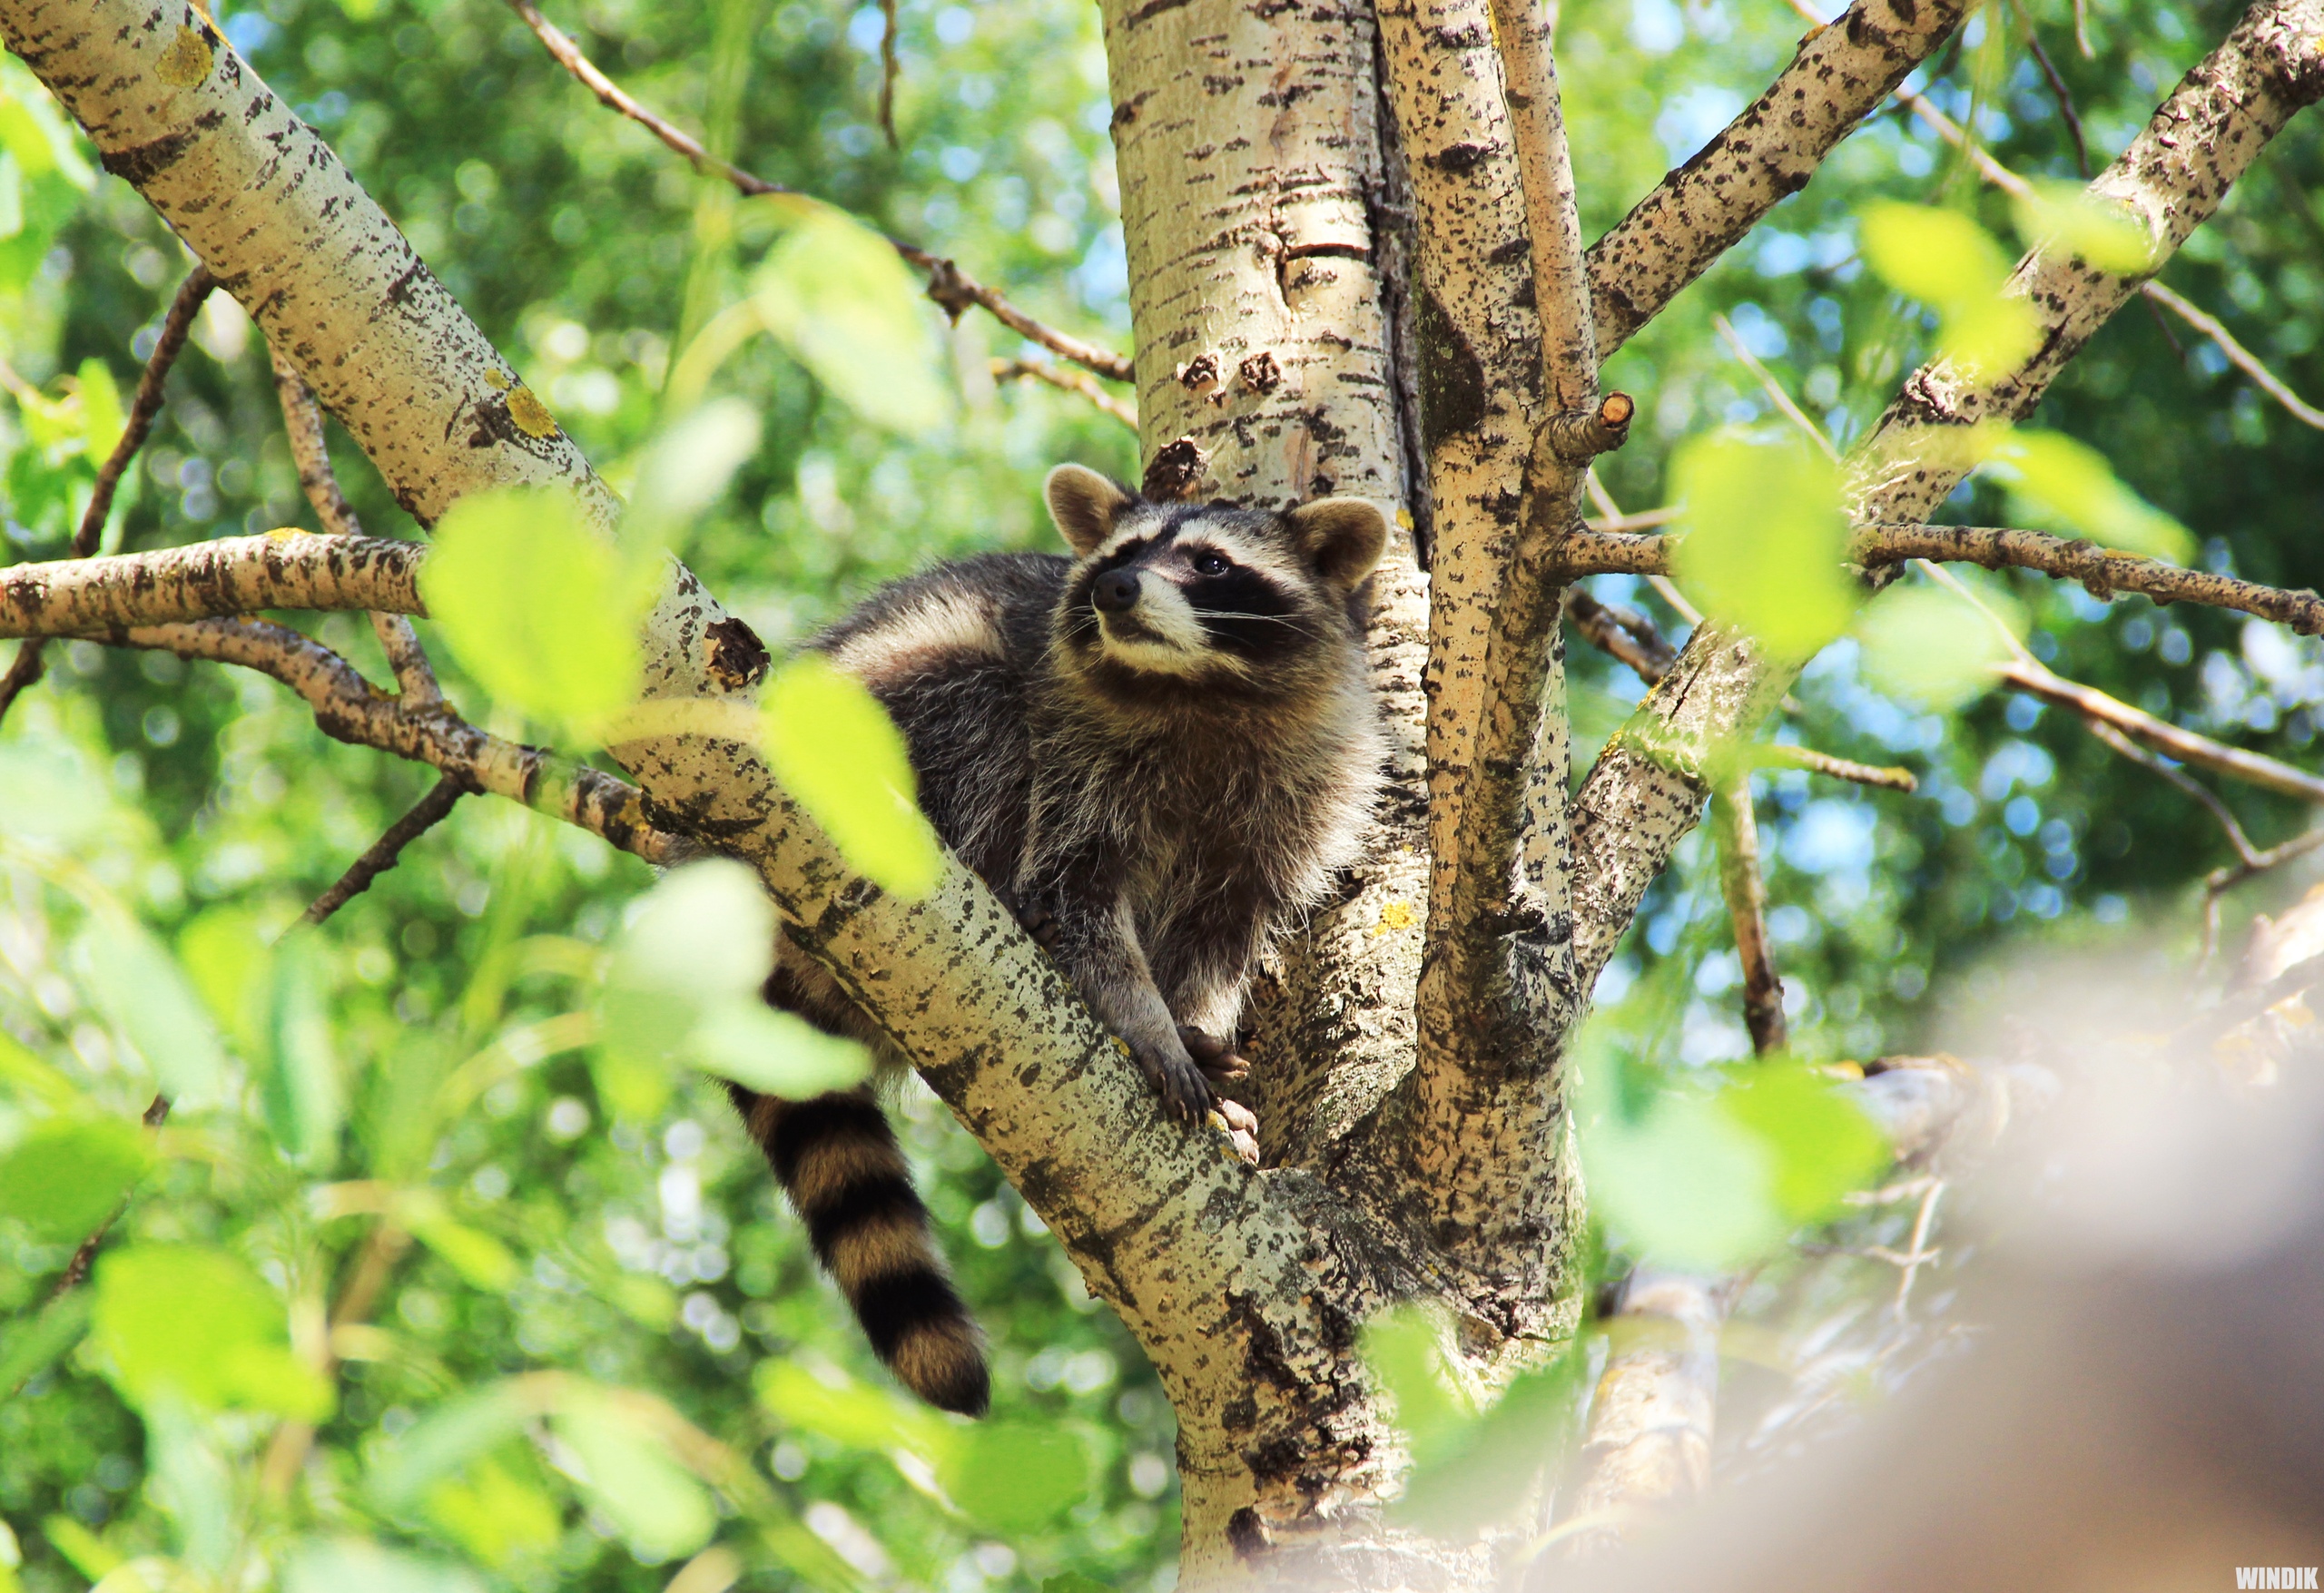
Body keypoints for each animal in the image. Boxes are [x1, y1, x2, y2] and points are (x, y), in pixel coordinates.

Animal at [727, 464, 1390, 1415]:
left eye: (1211, 563)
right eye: (1120, 554)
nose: (1116, 588)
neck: (1196, 687)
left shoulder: (1300, 790)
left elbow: (1220, 932)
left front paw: (1190, 1019)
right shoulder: (1078, 751)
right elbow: (1077, 899)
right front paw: (1146, 1023)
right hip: (878, 704)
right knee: (974, 699)